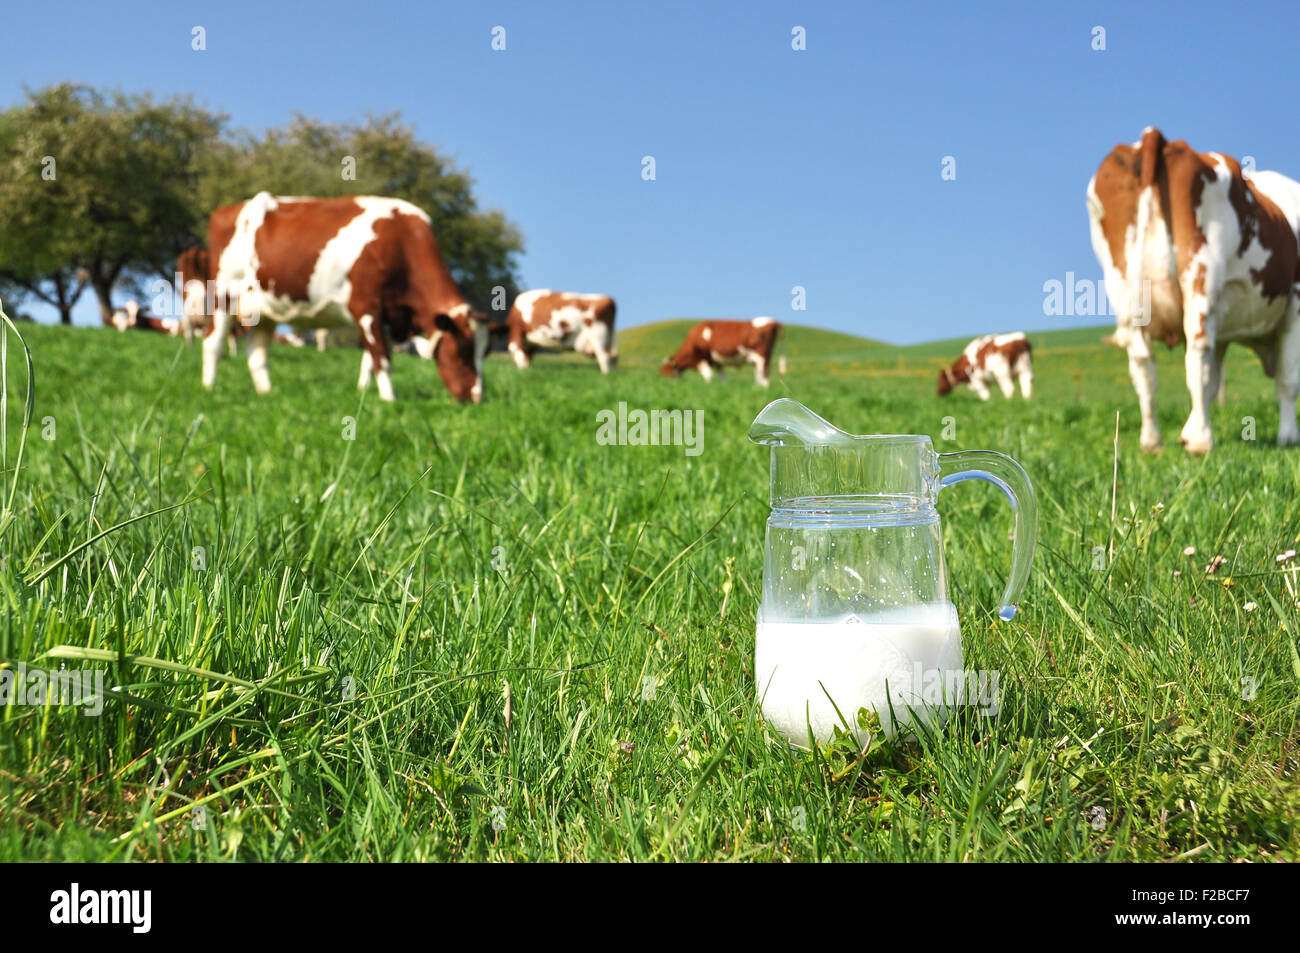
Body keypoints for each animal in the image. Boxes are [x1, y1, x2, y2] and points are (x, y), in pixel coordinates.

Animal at [202, 193, 488, 400]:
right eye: (462, 351)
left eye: (484, 353)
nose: (476, 398)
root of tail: (226, 210)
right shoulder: (366, 307)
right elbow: (382, 359)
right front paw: (390, 401)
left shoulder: (383, 315)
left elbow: (369, 360)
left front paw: (364, 392)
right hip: (224, 294)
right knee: (212, 341)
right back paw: (209, 388)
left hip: (267, 308)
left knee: (256, 353)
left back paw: (266, 394)